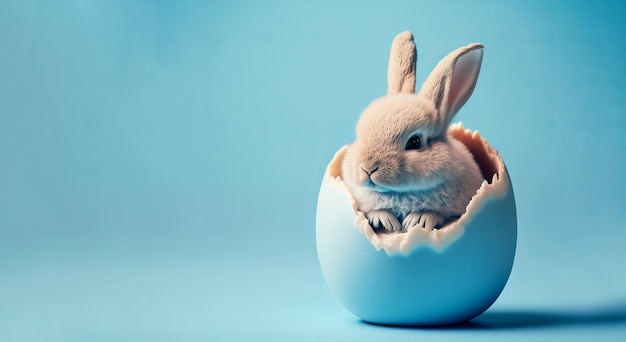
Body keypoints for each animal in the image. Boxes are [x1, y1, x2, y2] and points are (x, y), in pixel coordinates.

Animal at [342, 31, 482, 232]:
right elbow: (375, 210)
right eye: (359, 135)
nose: (368, 167)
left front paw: (417, 220)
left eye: (415, 142)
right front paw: (386, 221)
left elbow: (436, 213)